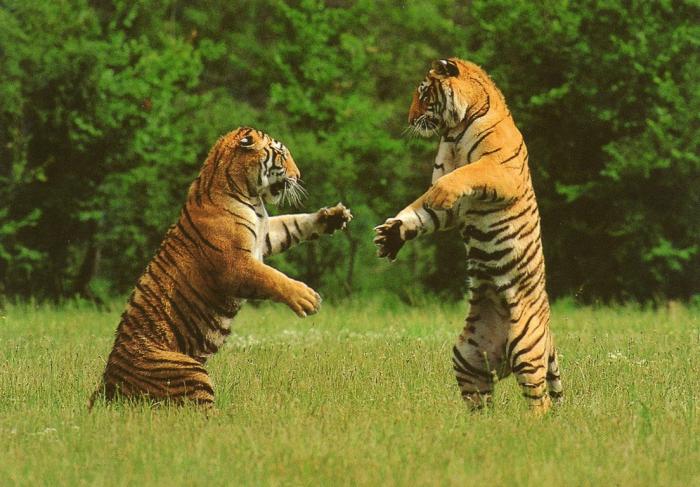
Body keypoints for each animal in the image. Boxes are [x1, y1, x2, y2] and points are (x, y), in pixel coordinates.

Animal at [90, 127, 352, 408]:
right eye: (282, 155)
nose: (298, 176)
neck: (249, 194)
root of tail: (109, 381)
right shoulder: (235, 264)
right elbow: (272, 277)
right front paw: (307, 299)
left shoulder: (264, 236)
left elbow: (293, 223)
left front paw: (333, 216)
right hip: (189, 372)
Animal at [374, 58, 562, 414]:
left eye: (423, 94)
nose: (409, 119)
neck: (455, 130)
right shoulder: (453, 209)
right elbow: (422, 212)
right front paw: (392, 234)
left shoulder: (498, 170)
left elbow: (463, 175)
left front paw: (437, 193)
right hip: (467, 355)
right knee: (481, 400)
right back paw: (476, 423)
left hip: (526, 348)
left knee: (541, 401)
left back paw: (534, 424)